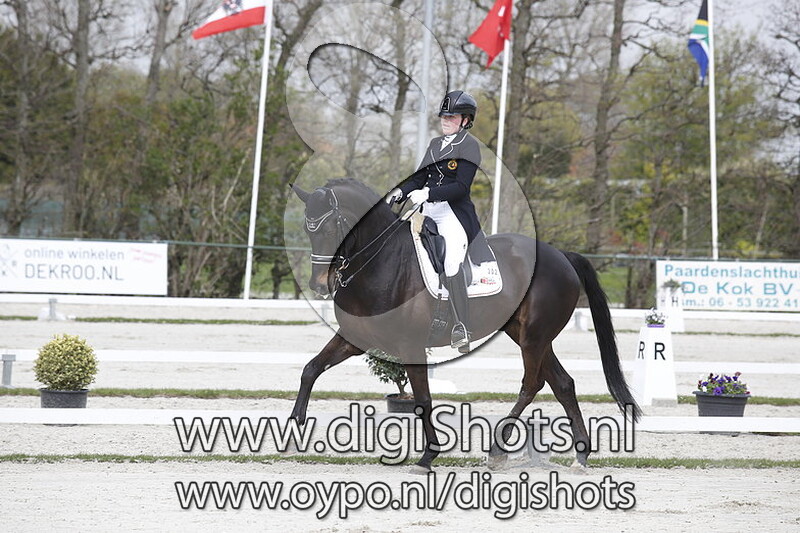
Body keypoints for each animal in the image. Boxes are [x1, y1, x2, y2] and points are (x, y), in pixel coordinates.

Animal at [288, 178, 640, 471]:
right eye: (308, 230)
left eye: (331, 229)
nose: (319, 284)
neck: (382, 263)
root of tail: (562, 256)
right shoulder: (354, 338)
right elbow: (310, 369)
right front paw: (293, 430)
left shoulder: (411, 346)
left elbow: (423, 400)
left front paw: (428, 456)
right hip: (529, 335)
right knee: (563, 384)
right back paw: (580, 455)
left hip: (534, 338)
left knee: (532, 384)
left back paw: (498, 451)